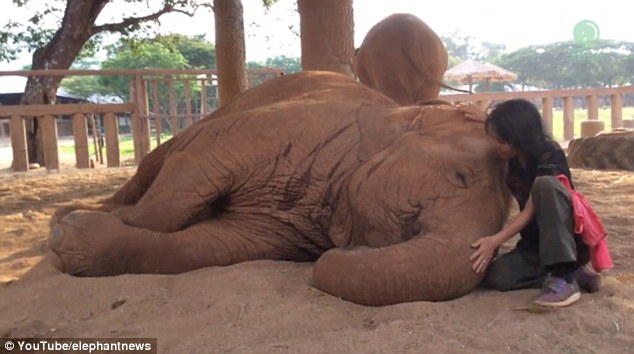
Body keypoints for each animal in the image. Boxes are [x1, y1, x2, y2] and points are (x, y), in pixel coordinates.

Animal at [48, 70, 508, 306]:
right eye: (460, 177)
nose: (331, 256)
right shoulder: (283, 126)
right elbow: (191, 174)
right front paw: (66, 231)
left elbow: (213, 246)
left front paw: (71, 240)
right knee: (158, 163)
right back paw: (72, 212)